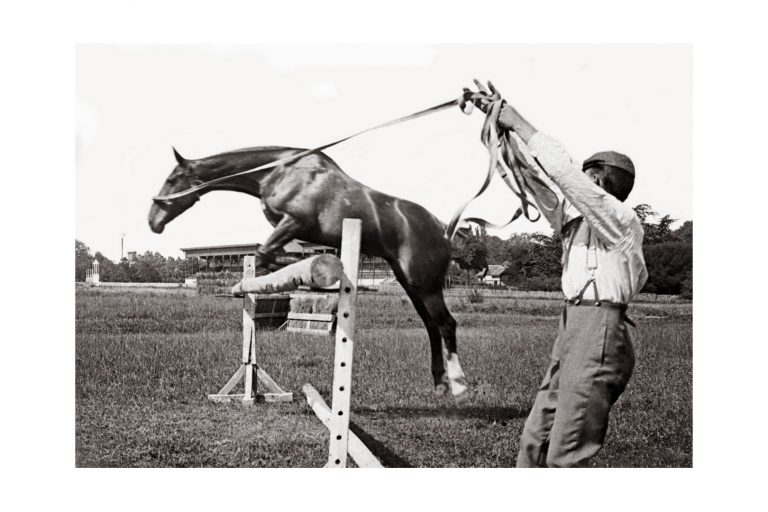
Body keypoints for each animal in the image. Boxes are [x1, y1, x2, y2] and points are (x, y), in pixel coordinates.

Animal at [146, 146, 468, 402]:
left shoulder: (293, 223)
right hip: (411, 284)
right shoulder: (287, 227)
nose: (152, 221)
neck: (278, 172)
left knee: (446, 323)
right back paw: (439, 384)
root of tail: (443, 231)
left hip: (425, 284)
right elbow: (268, 256)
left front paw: (314, 269)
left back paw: (458, 385)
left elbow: (266, 254)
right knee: (431, 326)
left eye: (172, 180)